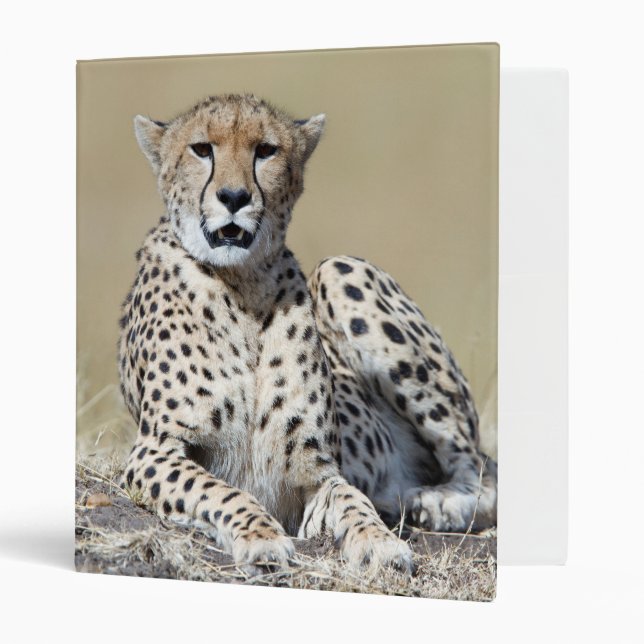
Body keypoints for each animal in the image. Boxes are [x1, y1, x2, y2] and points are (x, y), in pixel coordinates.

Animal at [118, 93, 496, 576]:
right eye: (202, 149)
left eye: (266, 150)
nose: (234, 197)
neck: (243, 286)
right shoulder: (154, 450)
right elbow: (218, 490)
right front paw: (260, 537)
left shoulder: (318, 474)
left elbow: (353, 500)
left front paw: (380, 543)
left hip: (340, 269)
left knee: (481, 469)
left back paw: (437, 503)